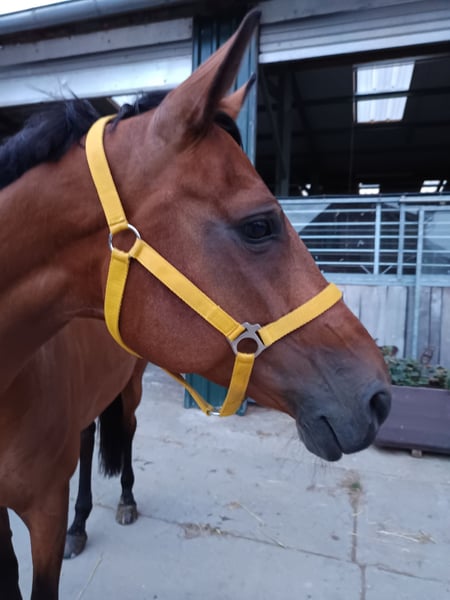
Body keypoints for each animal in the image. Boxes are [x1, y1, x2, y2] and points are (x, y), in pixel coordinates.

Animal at [0, 10, 391, 599]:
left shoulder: (43, 508)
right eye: (259, 225)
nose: (379, 398)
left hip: (132, 385)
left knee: (122, 432)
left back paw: (121, 504)